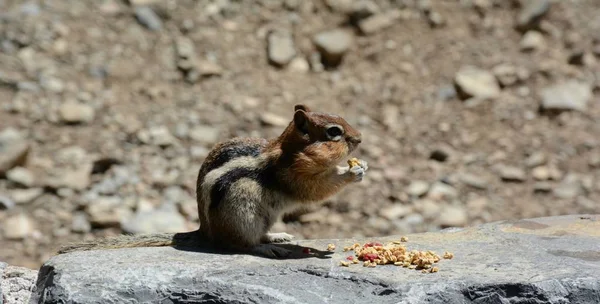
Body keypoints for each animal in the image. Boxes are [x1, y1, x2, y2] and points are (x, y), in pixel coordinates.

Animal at [62, 105, 370, 258]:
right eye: (334, 132)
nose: (359, 139)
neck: (289, 151)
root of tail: (205, 232)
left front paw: (362, 165)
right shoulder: (294, 174)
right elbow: (316, 189)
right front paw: (350, 173)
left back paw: (276, 236)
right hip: (243, 209)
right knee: (238, 244)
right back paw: (267, 247)